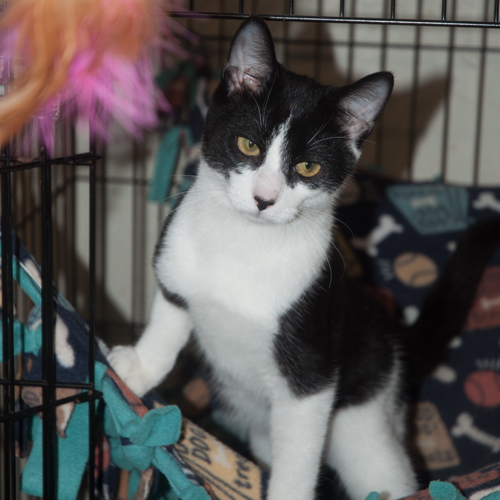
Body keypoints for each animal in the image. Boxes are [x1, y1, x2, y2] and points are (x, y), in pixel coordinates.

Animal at [108, 16, 500, 500]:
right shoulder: (176, 266)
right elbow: (167, 322)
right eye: (248, 144)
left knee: (383, 470)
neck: (245, 244)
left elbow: (299, 452)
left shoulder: (311, 371)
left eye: (308, 167)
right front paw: (139, 369)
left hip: (363, 422)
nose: (263, 199)